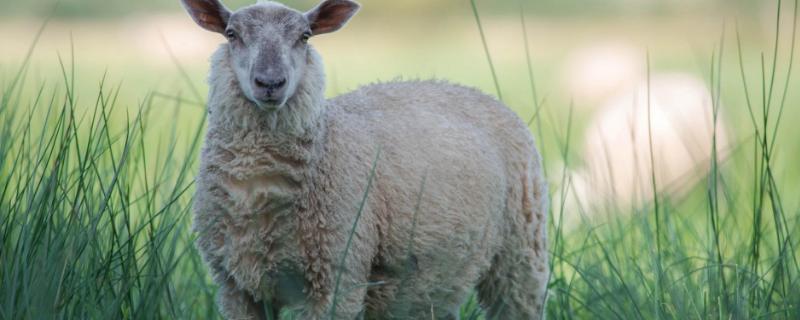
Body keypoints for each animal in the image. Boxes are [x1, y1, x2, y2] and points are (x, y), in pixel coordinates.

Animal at [181, 0, 552, 318]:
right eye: (232, 34)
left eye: (305, 36)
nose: (270, 82)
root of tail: (469, 88)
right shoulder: (238, 289)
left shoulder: (336, 282)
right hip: (439, 278)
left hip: (521, 254)